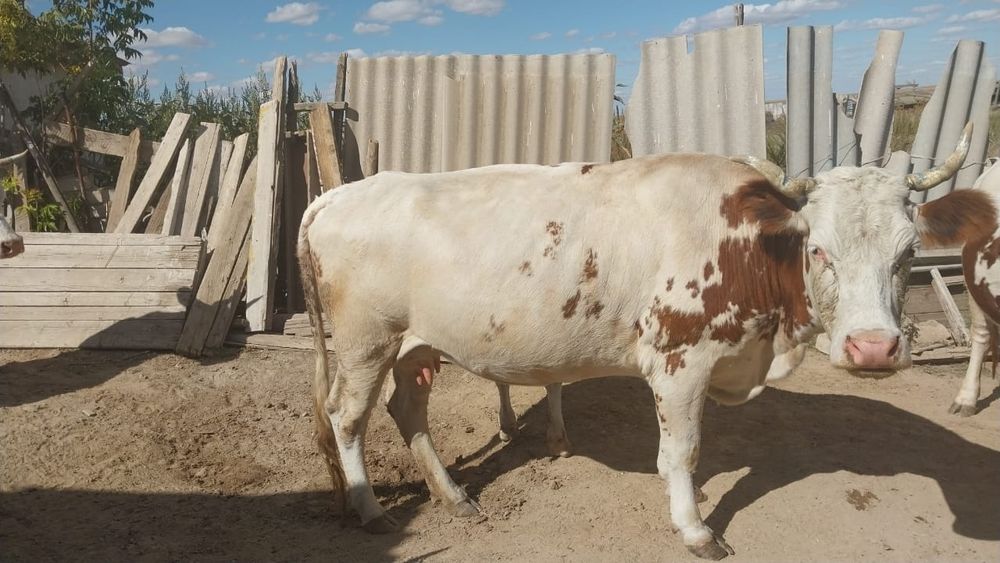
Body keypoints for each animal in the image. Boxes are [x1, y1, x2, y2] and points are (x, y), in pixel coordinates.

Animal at [297, 123, 990, 559]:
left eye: (909, 252)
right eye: (818, 248)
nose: (873, 348)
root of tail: (338, 194)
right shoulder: (680, 361)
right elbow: (680, 453)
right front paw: (695, 529)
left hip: (416, 346)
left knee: (406, 410)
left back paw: (453, 495)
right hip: (365, 342)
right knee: (347, 417)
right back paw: (371, 510)